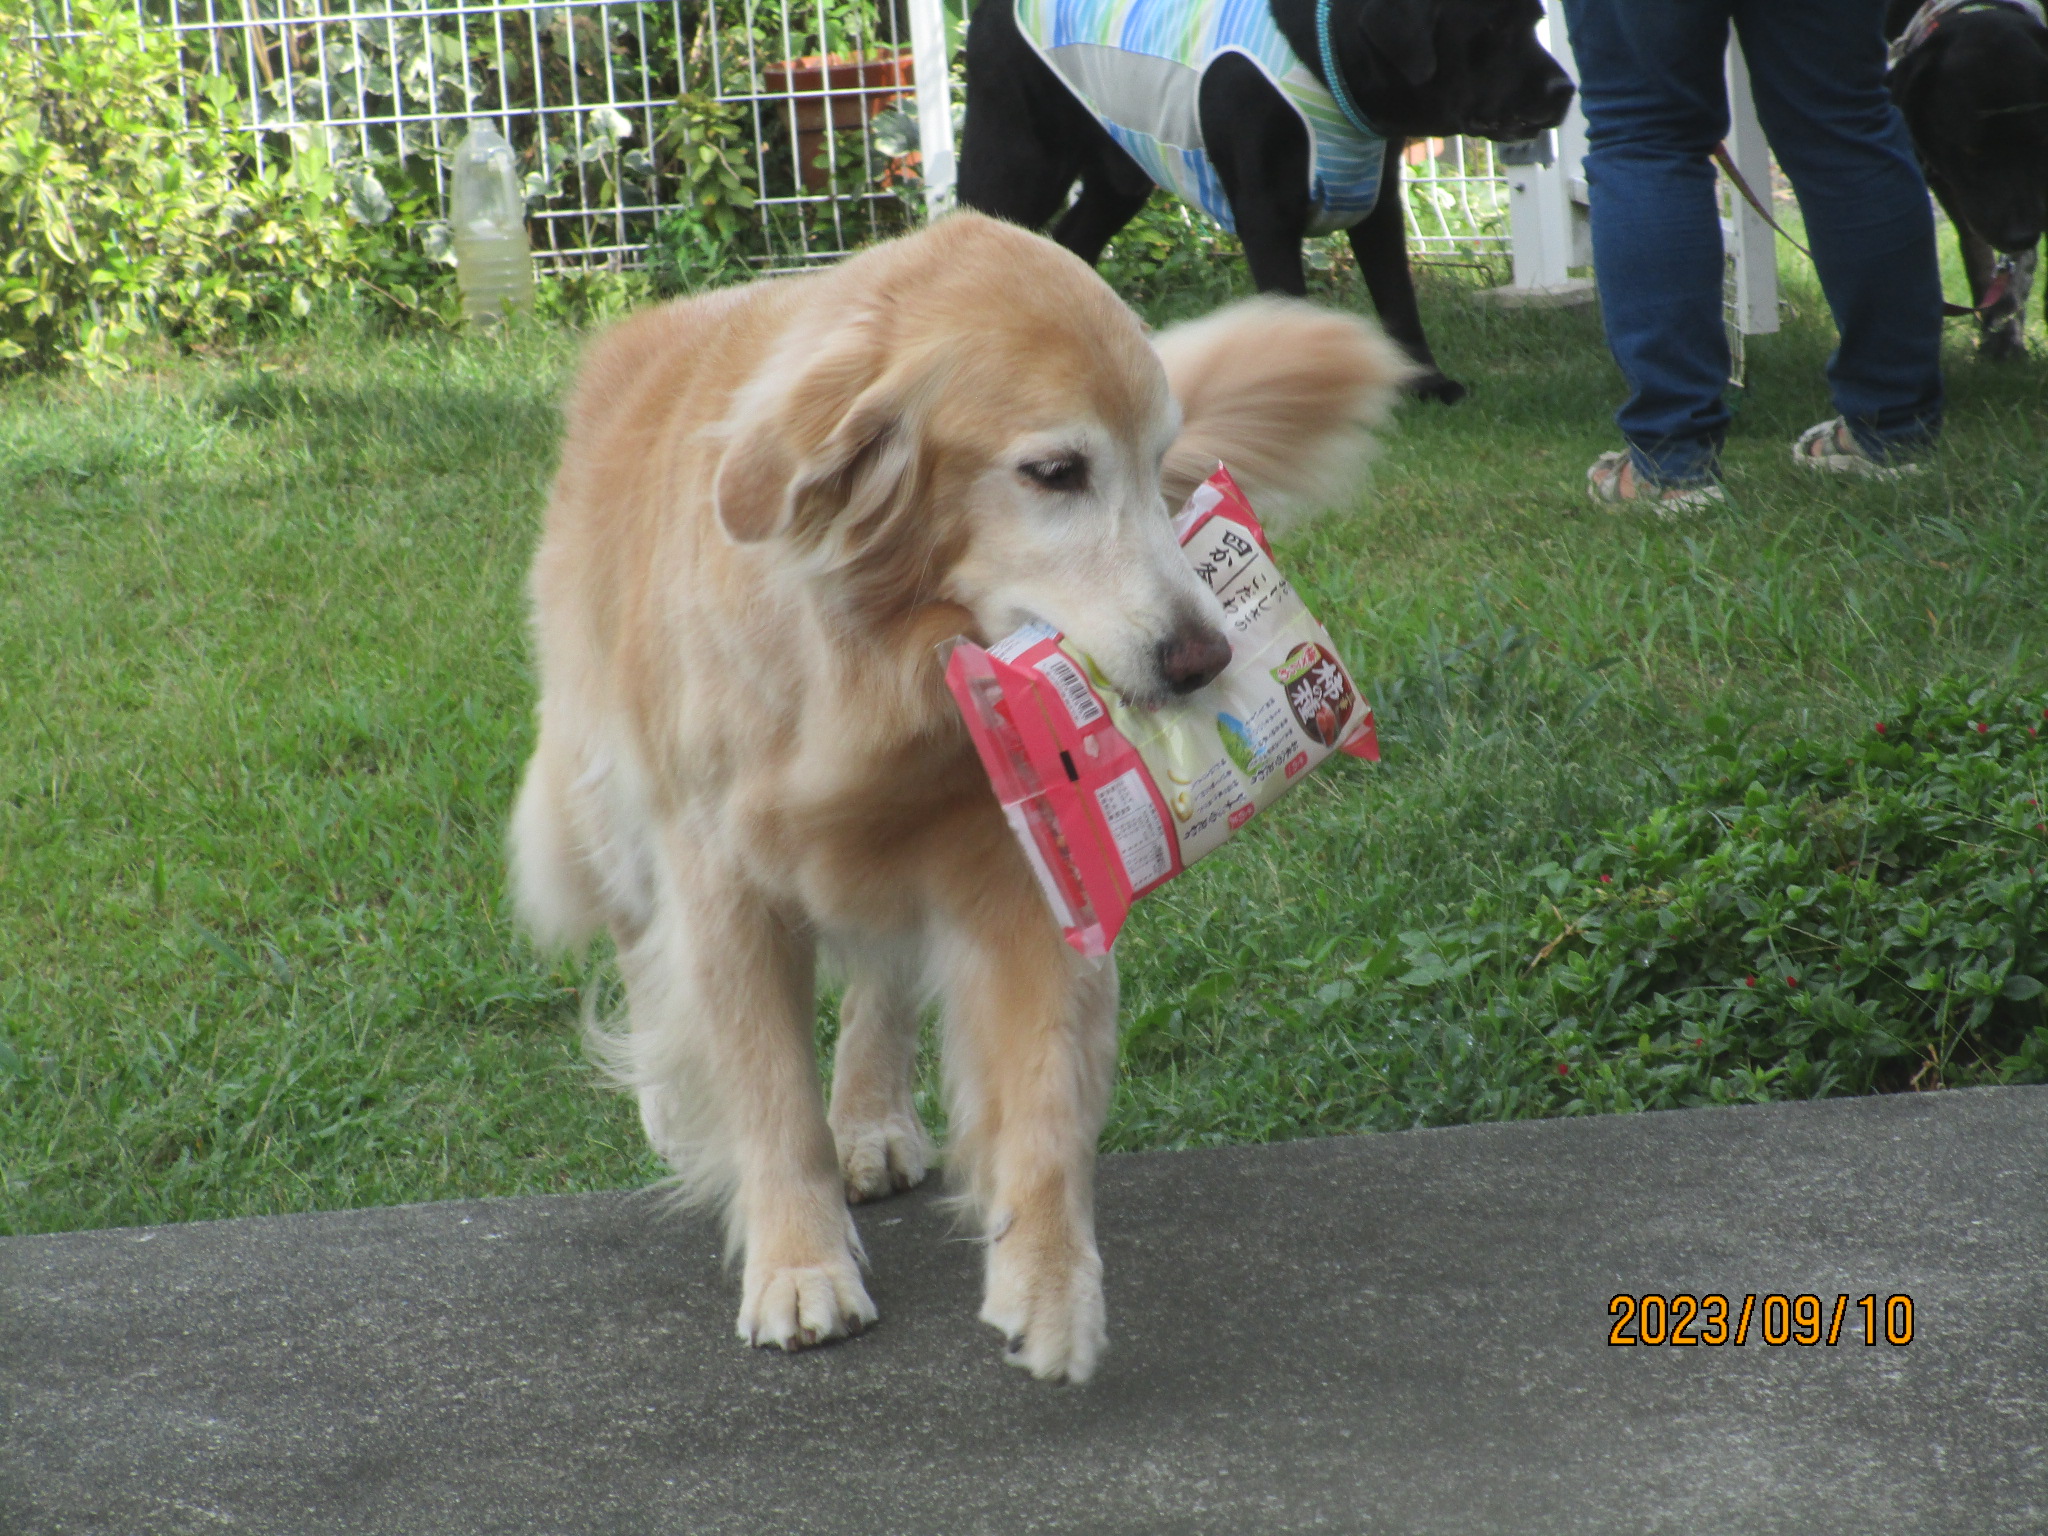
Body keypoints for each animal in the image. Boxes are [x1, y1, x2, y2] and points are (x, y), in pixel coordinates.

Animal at [954, 0, 1564, 403]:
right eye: (1493, 26)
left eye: (1535, 21)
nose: (1565, 89)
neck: (1326, 55)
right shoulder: (1267, 211)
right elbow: (1290, 302)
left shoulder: (1378, 202)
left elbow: (1399, 303)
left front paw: (1427, 383)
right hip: (1019, 159)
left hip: (1117, 176)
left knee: (1069, 243)